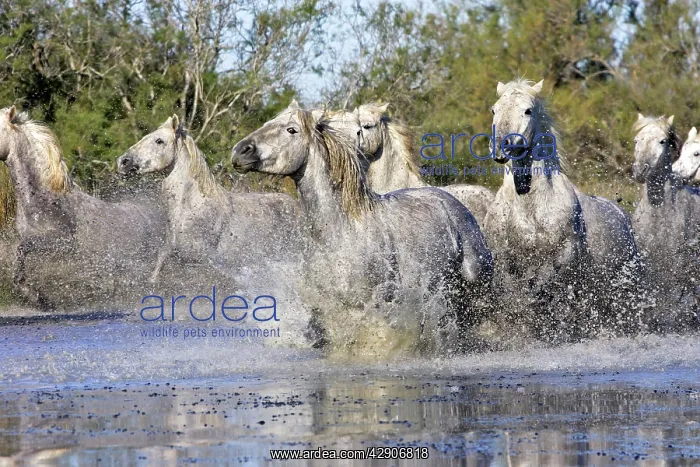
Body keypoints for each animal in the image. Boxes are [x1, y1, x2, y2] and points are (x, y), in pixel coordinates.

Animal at [484, 79, 642, 341]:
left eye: (528, 110)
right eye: (494, 110)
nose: (500, 147)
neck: (531, 208)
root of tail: (622, 216)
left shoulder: (563, 255)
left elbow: (539, 287)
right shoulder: (504, 258)